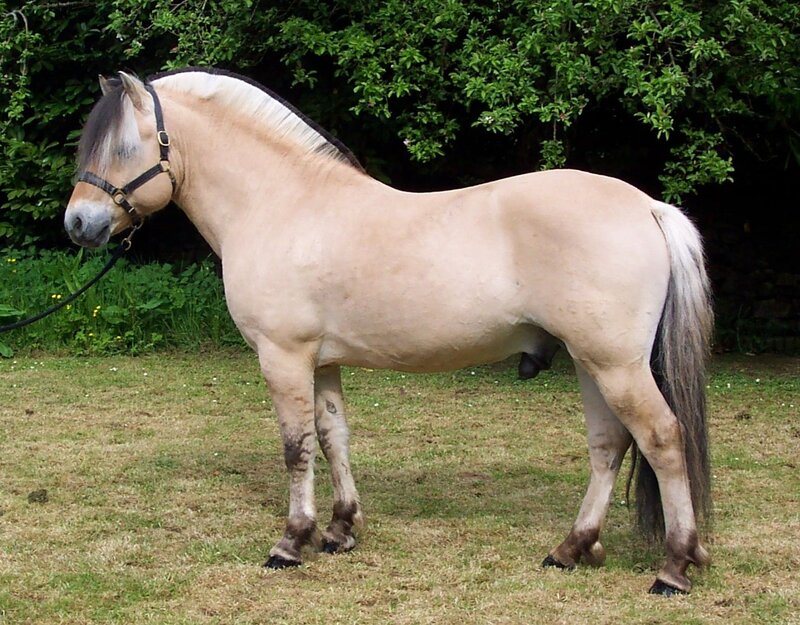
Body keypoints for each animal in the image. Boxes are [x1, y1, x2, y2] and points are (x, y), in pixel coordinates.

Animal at [64, 68, 713, 595]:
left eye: (123, 145)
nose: (77, 223)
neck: (280, 204)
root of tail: (648, 206)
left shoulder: (282, 356)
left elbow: (296, 448)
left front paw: (291, 542)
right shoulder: (322, 361)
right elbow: (334, 438)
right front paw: (340, 530)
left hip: (615, 365)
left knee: (662, 440)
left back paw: (674, 568)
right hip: (590, 362)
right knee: (608, 446)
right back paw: (571, 549)